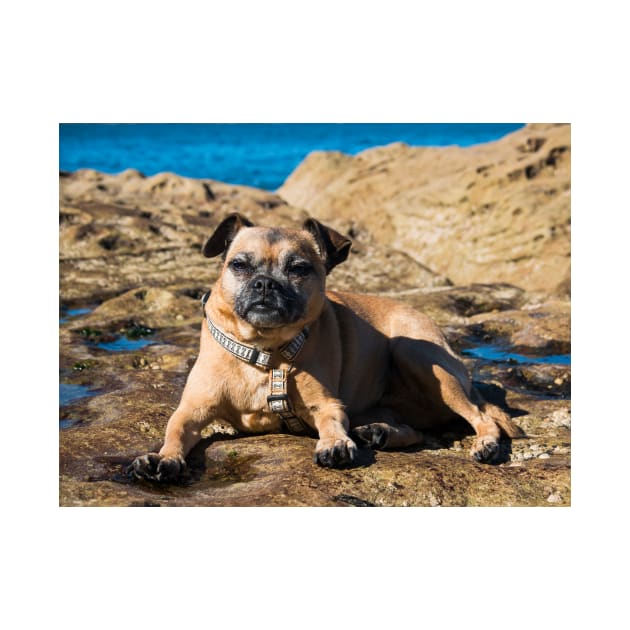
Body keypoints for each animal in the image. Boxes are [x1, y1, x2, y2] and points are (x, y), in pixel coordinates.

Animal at [132, 215, 524, 482]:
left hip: (418, 356)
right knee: (418, 431)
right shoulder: (192, 409)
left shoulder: (327, 404)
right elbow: (175, 432)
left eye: (298, 268)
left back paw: (485, 444)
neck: (265, 352)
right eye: (239, 265)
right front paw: (163, 457)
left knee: (482, 416)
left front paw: (335, 443)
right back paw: (380, 432)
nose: (265, 284)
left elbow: (331, 423)